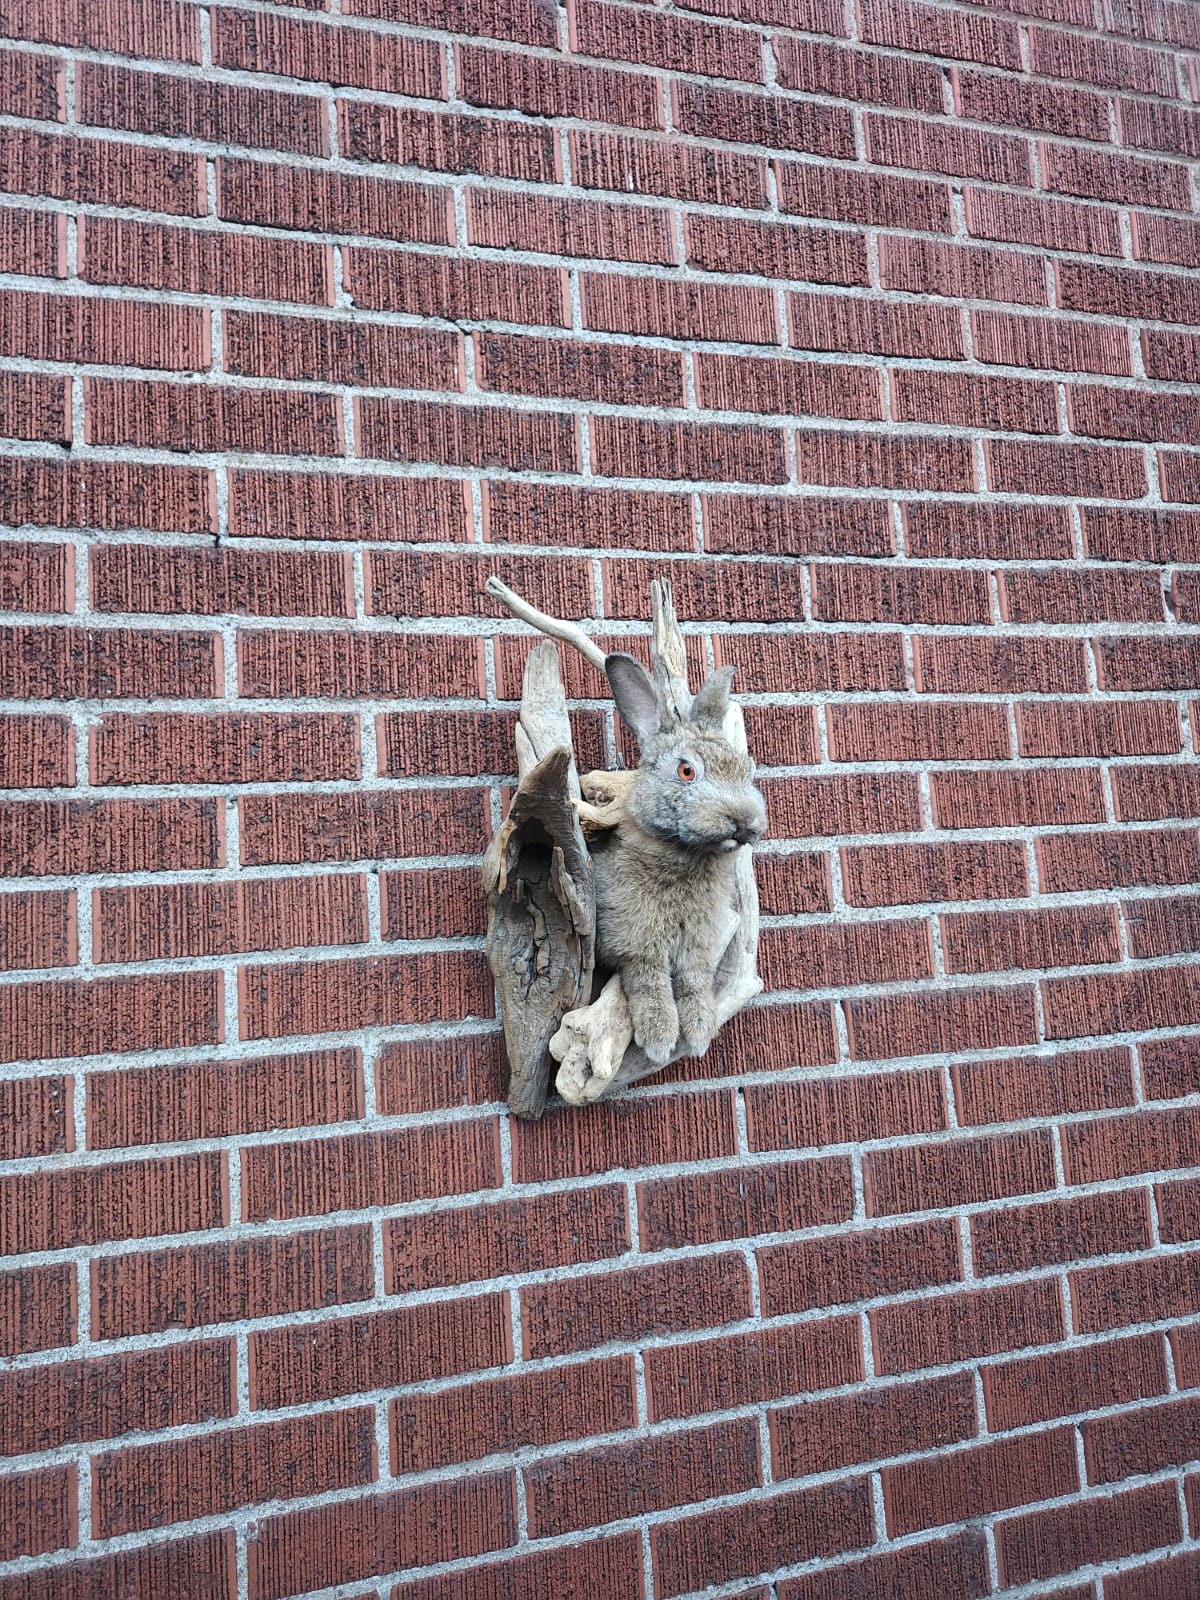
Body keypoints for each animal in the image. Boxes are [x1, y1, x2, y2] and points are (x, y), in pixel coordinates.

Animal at [587, 652, 767, 1066]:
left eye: (746, 770)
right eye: (686, 771)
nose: (742, 822)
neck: (686, 853)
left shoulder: (698, 945)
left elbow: (693, 981)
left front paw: (700, 1032)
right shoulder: (635, 941)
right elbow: (649, 983)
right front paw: (659, 1039)